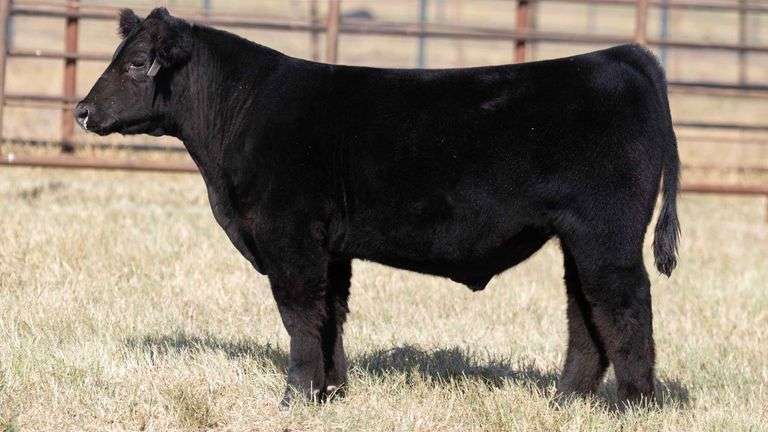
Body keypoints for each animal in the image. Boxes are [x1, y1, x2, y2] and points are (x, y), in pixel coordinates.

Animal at [76, 8, 680, 407]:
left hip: (607, 235)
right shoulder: (329, 245)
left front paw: (295, 396)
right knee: (586, 312)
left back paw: (634, 404)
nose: (82, 110)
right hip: (577, 238)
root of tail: (620, 57)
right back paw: (565, 402)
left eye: (137, 64)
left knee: (625, 307)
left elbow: (299, 314)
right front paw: (331, 391)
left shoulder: (288, 235)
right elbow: (330, 314)